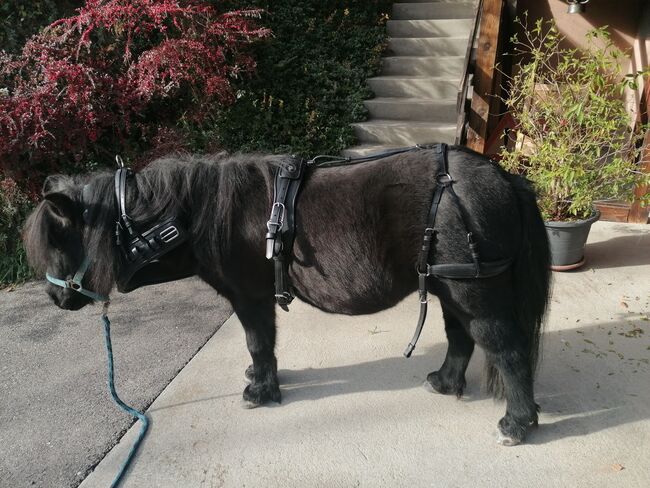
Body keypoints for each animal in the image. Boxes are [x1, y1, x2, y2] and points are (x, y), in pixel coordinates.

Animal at [23, 145, 551, 445]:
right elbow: (265, 345)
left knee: (506, 349)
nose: (54, 300)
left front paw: (260, 391)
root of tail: (507, 179)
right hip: (447, 287)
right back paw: (443, 382)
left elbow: (258, 341)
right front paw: (262, 379)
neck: (196, 214)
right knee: (460, 338)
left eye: (59, 240)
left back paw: (517, 423)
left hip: (474, 293)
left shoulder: (248, 296)